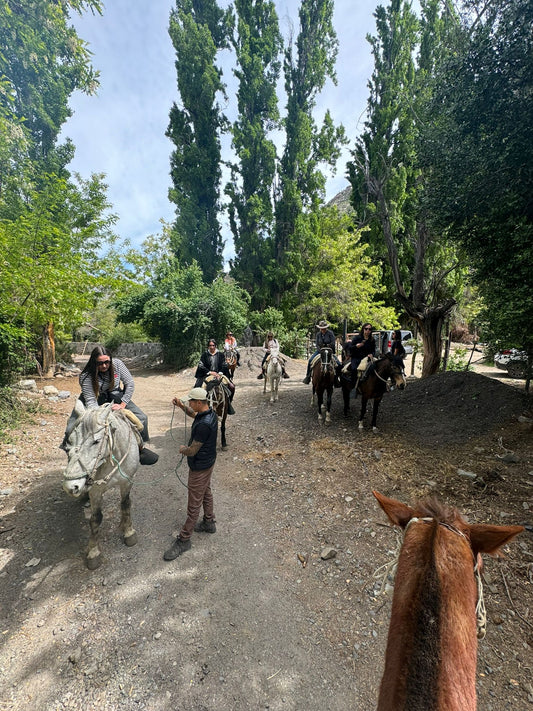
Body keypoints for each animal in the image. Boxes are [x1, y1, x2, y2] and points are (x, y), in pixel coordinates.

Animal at [62, 404, 140, 572]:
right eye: (69, 441)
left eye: (96, 441)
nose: (70, 487)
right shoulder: (96, 492)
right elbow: (95, 519)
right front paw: (93, 552)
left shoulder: (127, 482)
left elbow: (125, 504)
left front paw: (128, 531)